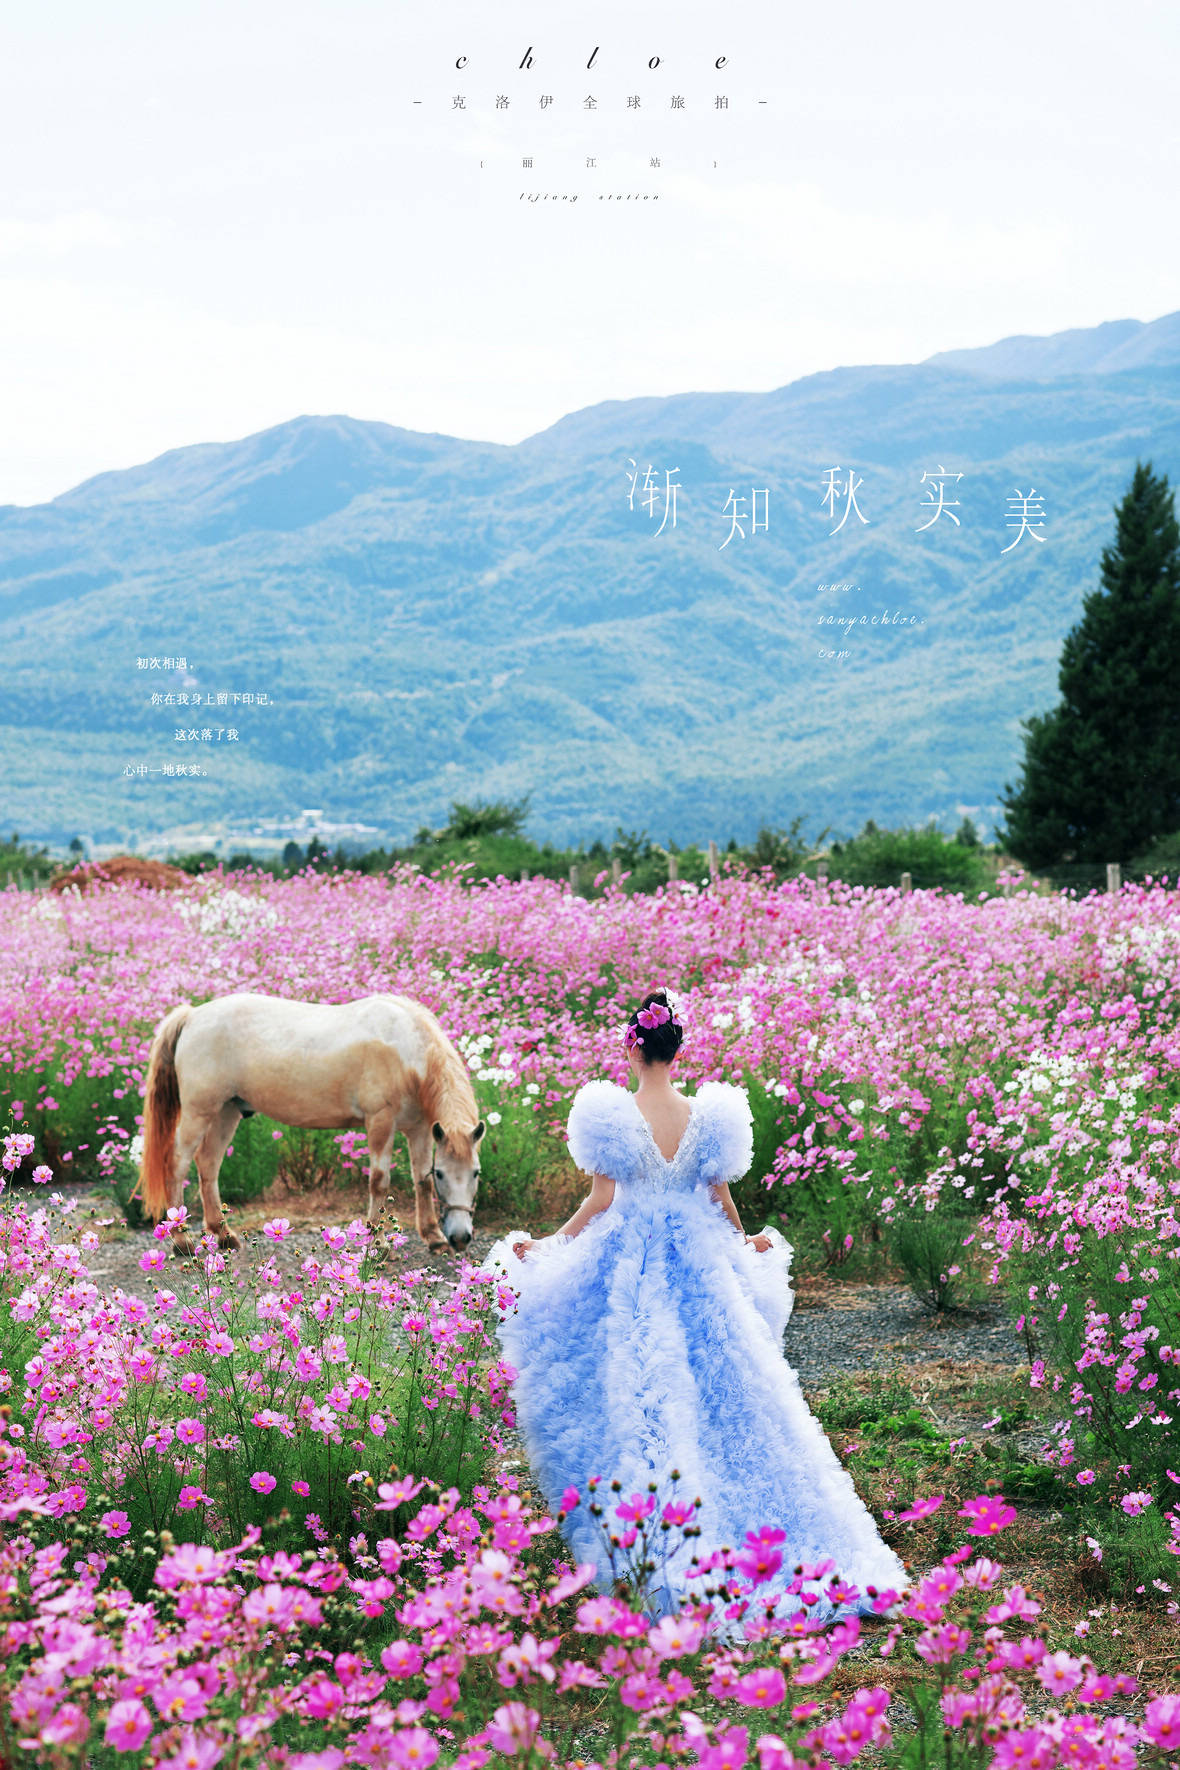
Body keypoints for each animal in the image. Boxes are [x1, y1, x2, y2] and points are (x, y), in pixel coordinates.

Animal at [136, 991, 488, 1253]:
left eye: (475, 1173)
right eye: (444, 1174)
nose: (460, 1238)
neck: (405, 1049)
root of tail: (192, 1016)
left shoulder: (419, 1129)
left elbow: (420, 1181)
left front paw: (433, 1237)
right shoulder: (380, 1121)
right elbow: (379, 1181)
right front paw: (378, 1242)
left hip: (227, 1111)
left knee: (208, 1164)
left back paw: (224, 1236)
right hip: (199, 1112)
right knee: (177, 1164)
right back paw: (182, 1241)